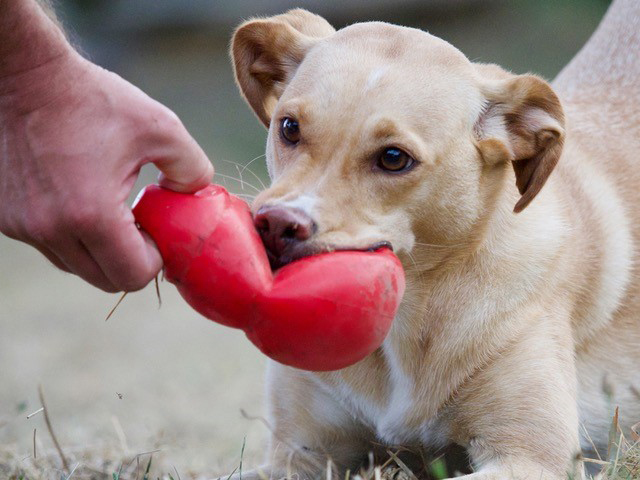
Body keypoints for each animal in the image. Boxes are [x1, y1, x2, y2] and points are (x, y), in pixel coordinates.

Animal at [225, 1, 640, 478]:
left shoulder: (530, 456)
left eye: (393, 158)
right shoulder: (297, 456)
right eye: (289, 127)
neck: (409, 313)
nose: (275, 224)